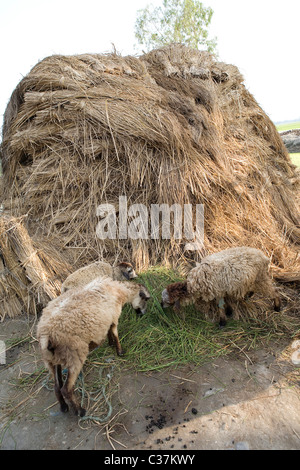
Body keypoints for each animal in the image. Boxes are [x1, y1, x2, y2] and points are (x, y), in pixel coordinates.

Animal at [36, 278, 151, 416]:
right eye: (146, 299)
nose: (143, 314)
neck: (120, 291)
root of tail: (46, 337)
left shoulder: (107, 320)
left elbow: (109, 332)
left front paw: (111, 343)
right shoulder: (114, 317)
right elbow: (115, 334)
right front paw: (120, 351)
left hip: (52, 361)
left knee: (57, 387)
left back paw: (64, 407)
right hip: (74, 356)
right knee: (66, 389)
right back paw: (80, 411)